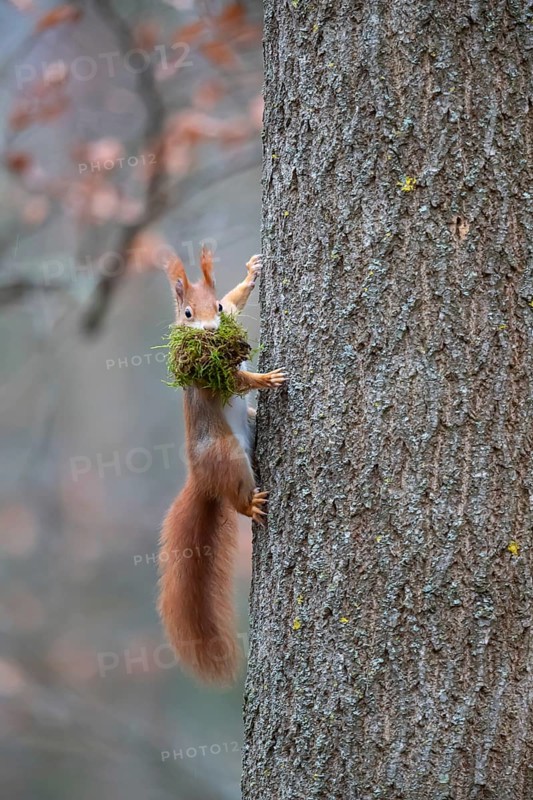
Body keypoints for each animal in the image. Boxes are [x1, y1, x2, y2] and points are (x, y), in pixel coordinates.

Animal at [158, 247, 285, 684]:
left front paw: (251, 273)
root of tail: (201, 480)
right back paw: (251, 505)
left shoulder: (228, 311)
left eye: (213, 307)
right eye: (187, 314)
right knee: (235, 498)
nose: (212, 330)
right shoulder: (210, 378)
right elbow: (238, 381)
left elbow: (235, 301)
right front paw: (265, 377)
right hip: (227, 457)